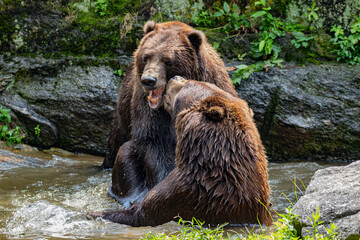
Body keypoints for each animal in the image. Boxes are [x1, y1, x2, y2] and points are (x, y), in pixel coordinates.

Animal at [88, 77, 272, 227]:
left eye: (189, 83)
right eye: (208, 83)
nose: (176, 77)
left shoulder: (181, 197)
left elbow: (140, 213)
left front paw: (94, 213)